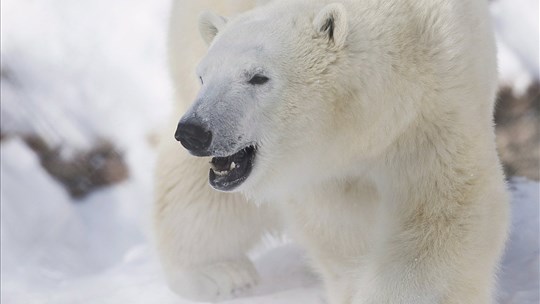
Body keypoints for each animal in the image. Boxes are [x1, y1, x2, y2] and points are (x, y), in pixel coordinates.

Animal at [153, 0, 510, 304]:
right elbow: (337, 229)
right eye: (204, 76)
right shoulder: (315, 170)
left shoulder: (434, 114)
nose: (194, 132)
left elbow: (443, 213)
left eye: (258, 77)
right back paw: (218, 272)